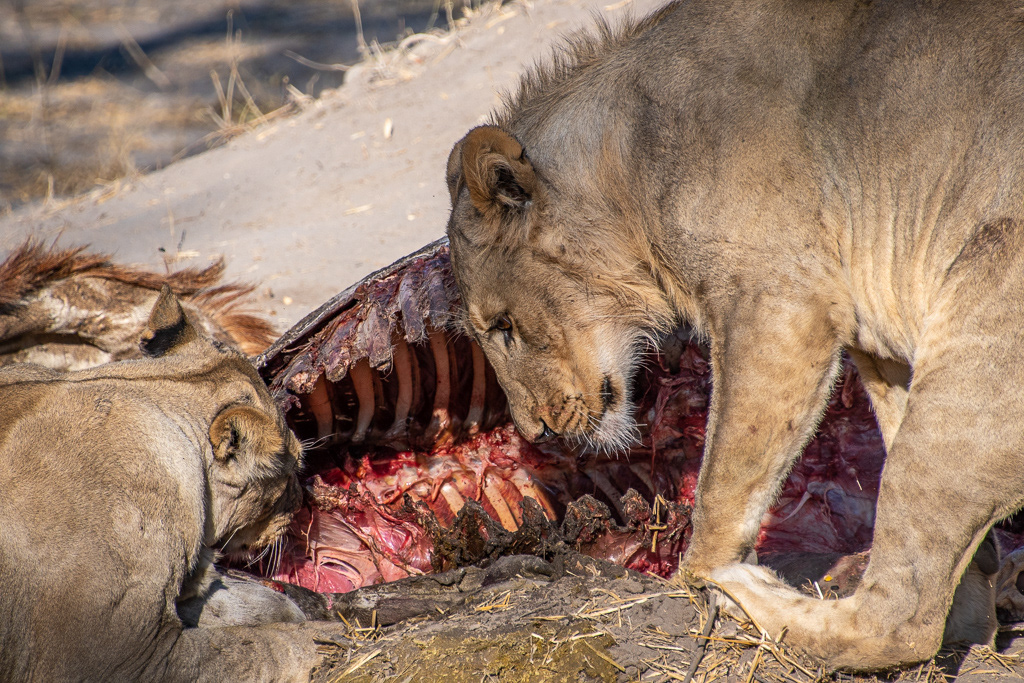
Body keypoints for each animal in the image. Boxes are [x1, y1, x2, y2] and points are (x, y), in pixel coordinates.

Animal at [444, 0, 1024, 671]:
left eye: (503, 327)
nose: (534, 432)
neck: (625, 166)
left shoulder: (780, 303)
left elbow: (726, 476)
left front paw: (695, 575)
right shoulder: (874, 338)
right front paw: (976, 608)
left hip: (976, 363)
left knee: (898, 619)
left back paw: (745, 589)